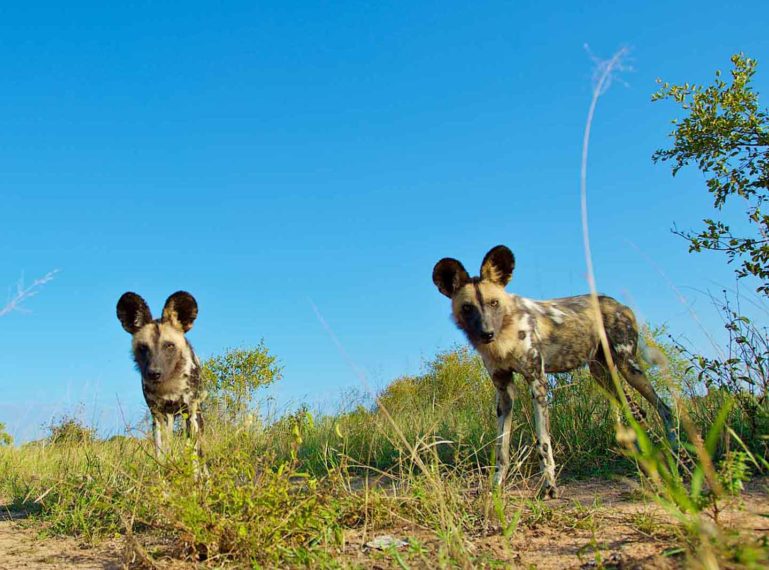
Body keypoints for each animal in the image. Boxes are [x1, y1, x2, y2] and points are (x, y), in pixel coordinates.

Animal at [115, 290, 204, 454]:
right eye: (143, 347)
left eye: (169, 346)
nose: (154, 373)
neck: (170, 384)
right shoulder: (157, 414)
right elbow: (161, 451)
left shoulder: (190, 410)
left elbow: (193, 451)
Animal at [436, 244, 676, 496]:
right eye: (467, 307)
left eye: (494, 303)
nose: (487, 333)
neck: (504, 337)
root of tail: (619, 304)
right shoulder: (504, 392)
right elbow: (501, 448)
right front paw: (496, 485)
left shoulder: (537, 382)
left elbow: (543, 443)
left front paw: (549, 486)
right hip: (602, 375)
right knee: (638, 412)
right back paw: (643, 457)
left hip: (628, 367)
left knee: (664, 408)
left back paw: (675, 452)